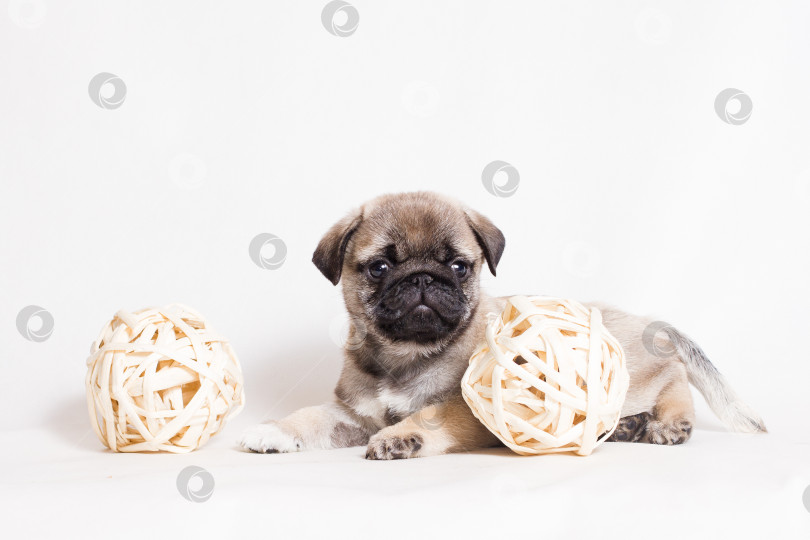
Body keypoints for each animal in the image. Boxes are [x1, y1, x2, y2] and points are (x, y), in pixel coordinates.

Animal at [238, 192, 764, 458]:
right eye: (379, 268)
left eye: (458, 267)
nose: (422, 279)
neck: (406, 354)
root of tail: (654, 327)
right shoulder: (352, 414)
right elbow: (310, 417)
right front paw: (274, 432)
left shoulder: (468, 411)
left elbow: (427, 416)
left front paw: (399, 436)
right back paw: (629, 427)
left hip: (645, 373)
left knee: (676, 380)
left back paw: (668, 423)